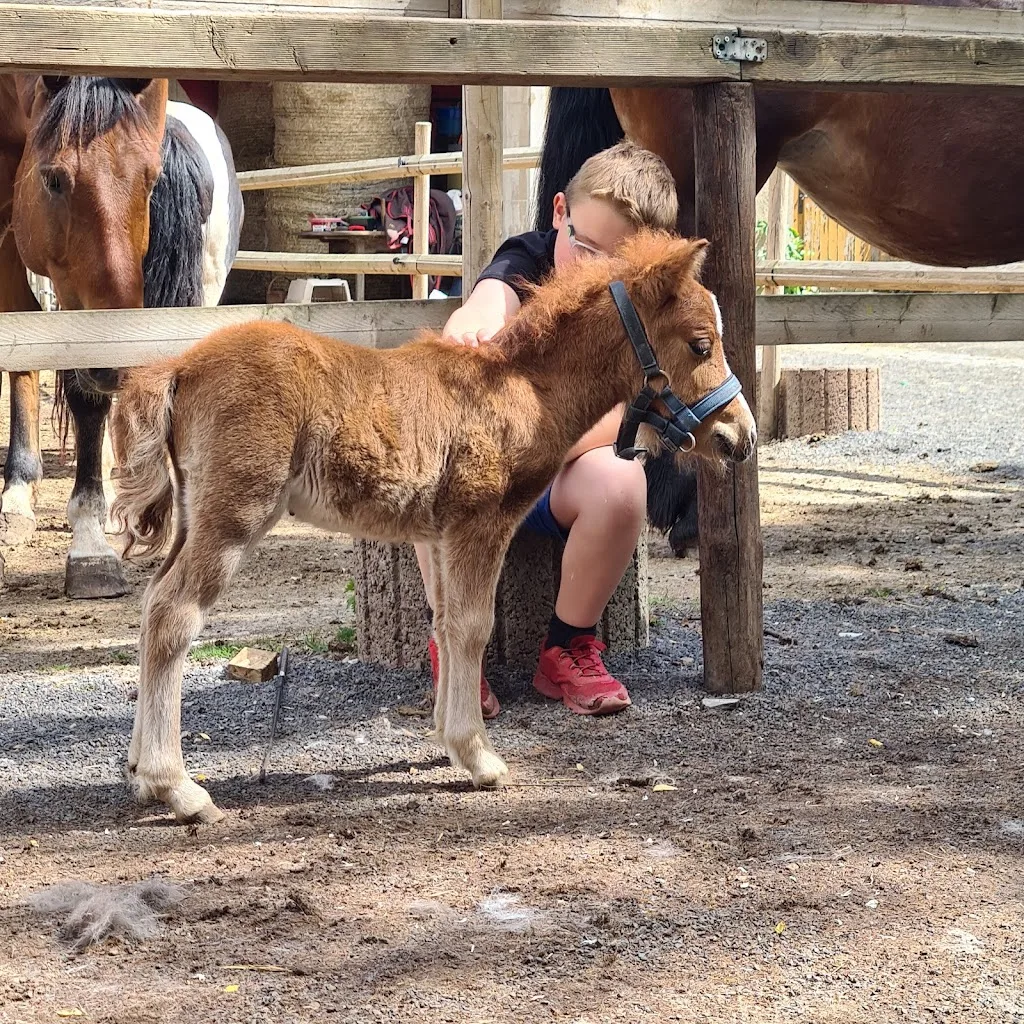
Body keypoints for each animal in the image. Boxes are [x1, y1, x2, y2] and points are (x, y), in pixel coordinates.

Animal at [109, 229, 757, 824]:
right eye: (701, 344)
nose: (741, 435)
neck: (525, 389)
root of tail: (179, 366)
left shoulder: (443, 534)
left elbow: (446, 626)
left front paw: (451, 741)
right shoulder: (481, 522)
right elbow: (472, 628)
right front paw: (478, 757)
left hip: (196, 515)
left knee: (152, 603)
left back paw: (139, 771)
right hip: (233, 514)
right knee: (174, 613)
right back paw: (177, 787)